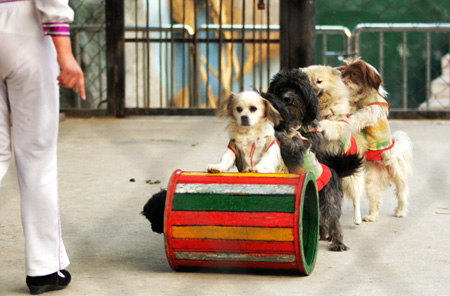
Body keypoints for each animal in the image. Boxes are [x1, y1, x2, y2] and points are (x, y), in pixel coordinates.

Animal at [338, 56, 414, 221]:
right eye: (344, 73)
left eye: (354, 74)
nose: (344, 81)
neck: (359, 98)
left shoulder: (371, 109)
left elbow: (359, 116)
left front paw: (348, 121)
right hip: (372, 182)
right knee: (375, 199)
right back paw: (371, 216)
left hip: (397, 172)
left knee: (402, 193)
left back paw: (400, 211)